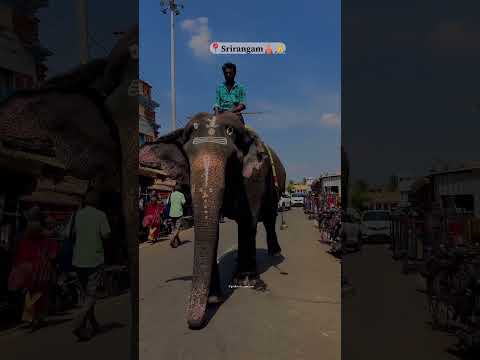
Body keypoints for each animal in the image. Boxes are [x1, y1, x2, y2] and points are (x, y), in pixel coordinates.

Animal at [141, 112, 286, 330]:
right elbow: (214, 226)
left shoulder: (256, 175)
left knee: (269, 219)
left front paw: (244, 281)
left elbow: (248, 220)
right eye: (187, 156)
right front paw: (213, 298)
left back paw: (274, 253)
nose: (193, 323)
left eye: (233, 158)